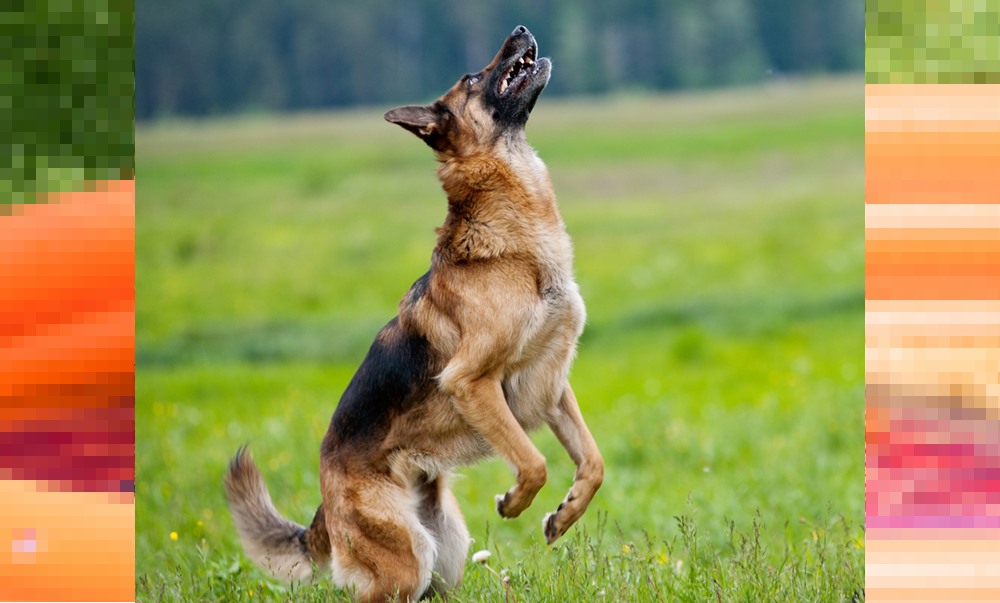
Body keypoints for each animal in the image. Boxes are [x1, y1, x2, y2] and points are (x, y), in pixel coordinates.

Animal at [227, 26, 600, 600]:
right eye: (470, 78)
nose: (519, 30)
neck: (513, 245)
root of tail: (324, 505)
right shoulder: (472, 382)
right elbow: (533, 462)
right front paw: (515, 501)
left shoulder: (550, 381)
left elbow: (593, 462)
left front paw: (564, 514)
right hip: (407, 560)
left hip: (446, 551)